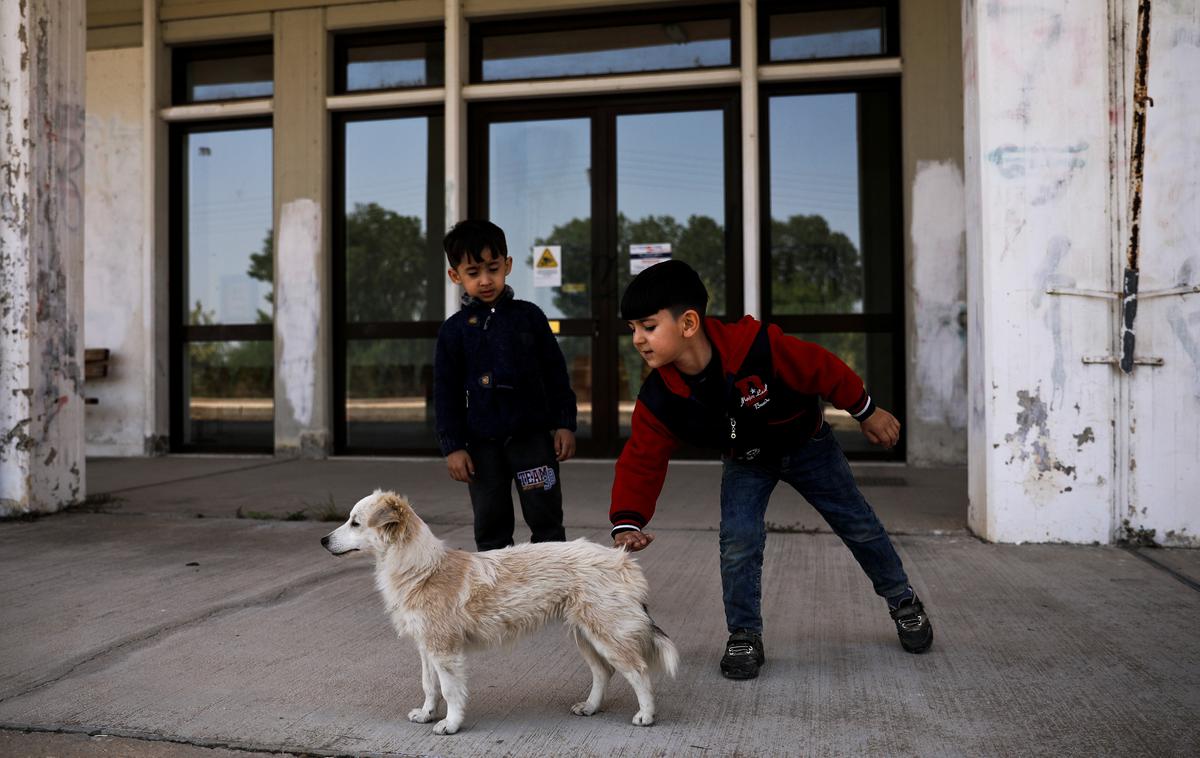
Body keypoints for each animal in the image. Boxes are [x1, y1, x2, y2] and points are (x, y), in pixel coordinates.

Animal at [321, 491, 676, 734]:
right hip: (586, 636)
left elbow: (450, 690)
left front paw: (450, 724)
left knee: (638, 671)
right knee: (604, 673)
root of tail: (621, 557)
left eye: (355, 522)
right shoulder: (427, 648)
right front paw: (426, 714)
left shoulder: (445, 651)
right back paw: (589, 707)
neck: (423, 569)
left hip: (607, 635)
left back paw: (646, 715)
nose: (323, 540)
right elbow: (429, 686)